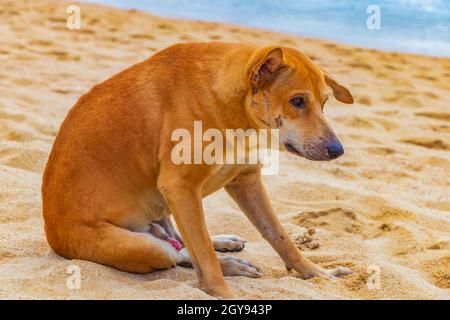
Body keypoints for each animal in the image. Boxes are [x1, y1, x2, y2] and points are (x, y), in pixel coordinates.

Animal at [44, 41, 356, 298]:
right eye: (297, 101)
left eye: (324, 102)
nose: (337, 150)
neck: (233, 107)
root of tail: (53, 236)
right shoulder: (181, 188)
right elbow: (204, 258)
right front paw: (225, 293)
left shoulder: (246, 181)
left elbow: (280, 236)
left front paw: (317, 273)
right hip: (144, 245)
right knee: (179, 253)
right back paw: (229, 262)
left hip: (167, 213)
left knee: (183, 241)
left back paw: (226, 244)